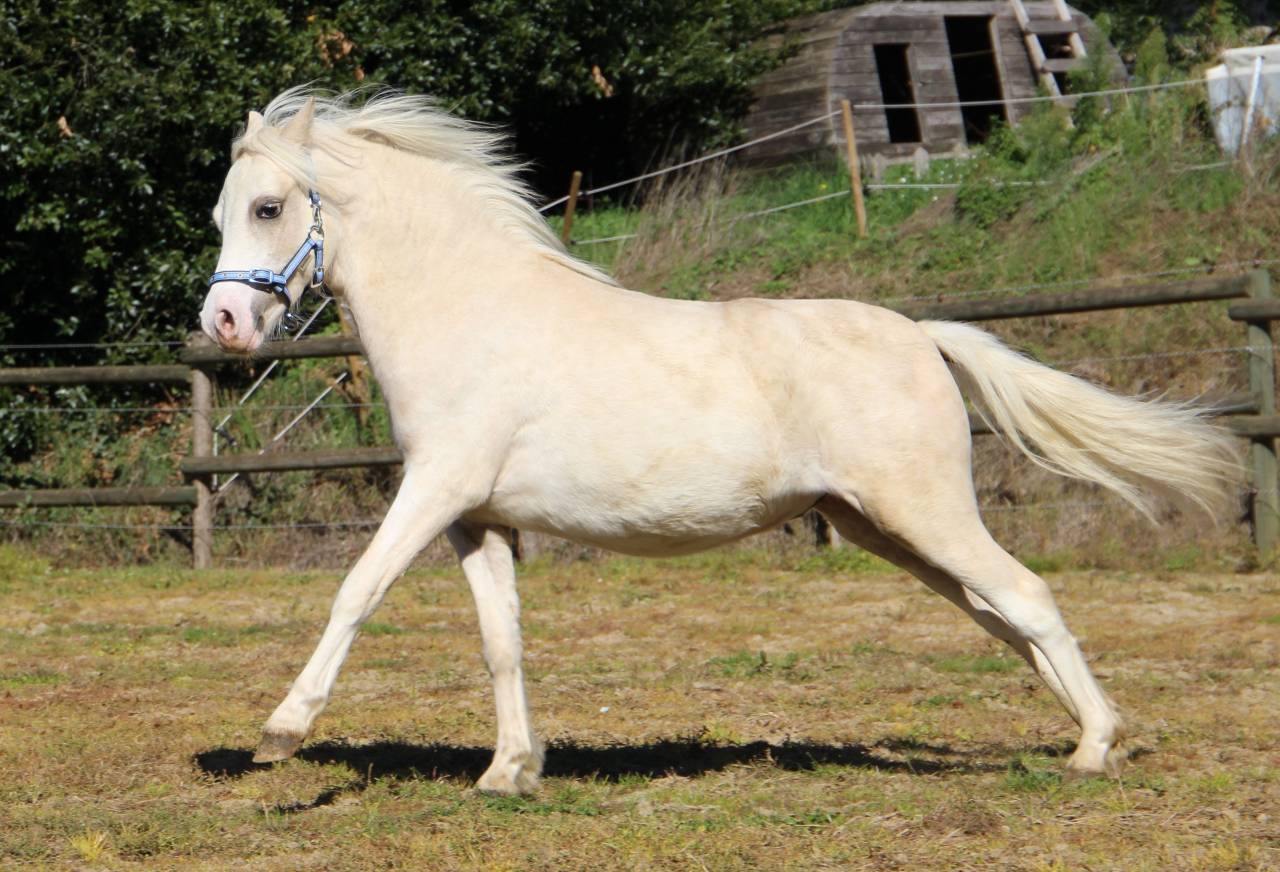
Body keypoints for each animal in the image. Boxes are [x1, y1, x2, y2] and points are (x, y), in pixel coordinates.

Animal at [199, 87, 1238, 796]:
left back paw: (1094, 748)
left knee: (1028, 597)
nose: (224, 326)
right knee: (1000, 614)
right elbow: (502, 642)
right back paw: (1095, 732)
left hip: (923, 511)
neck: (467, 311)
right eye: (222, 212)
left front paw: (280, 733)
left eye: (268, 208)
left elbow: (355, 592)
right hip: (878, 526)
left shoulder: (435, 489)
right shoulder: (475, 519)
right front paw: (510, 771)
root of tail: (923, 336)